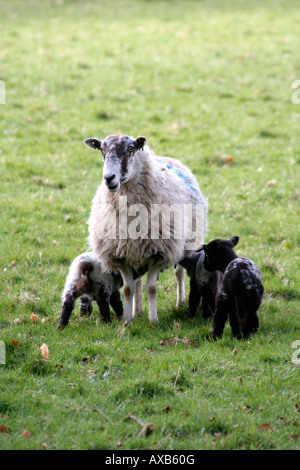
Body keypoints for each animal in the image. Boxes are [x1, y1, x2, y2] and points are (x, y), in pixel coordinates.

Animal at [83, 134, 207, 322]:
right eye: (102, 150)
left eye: (130, 149)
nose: (109, 178)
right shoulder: (121, 255)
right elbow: (128, 289)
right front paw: (127, 320)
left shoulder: (159, 253)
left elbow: (152, 288)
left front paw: (153, 320)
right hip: (136, 252)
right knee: (138, 282)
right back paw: (138, 311)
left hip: (184, 245)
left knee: (179, 273)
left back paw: (179, 302)